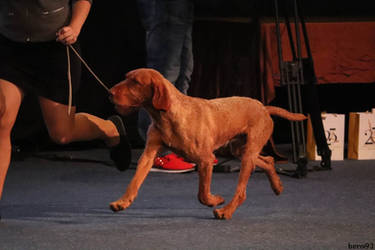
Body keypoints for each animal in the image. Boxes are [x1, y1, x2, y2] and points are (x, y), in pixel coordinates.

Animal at [108, 68, 306, 219]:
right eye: (126, 77)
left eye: (135, 82)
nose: (109, 92)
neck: (165, 116)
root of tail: (263, 107)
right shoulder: (148, 156)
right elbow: (134, 182)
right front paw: (122, 202)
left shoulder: (206, 160)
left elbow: (202, 194)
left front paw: (215, 200)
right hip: (240, 151)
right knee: (268, 160)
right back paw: (277, 186)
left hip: (248, 154)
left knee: (241, 192)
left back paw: (226, 211)